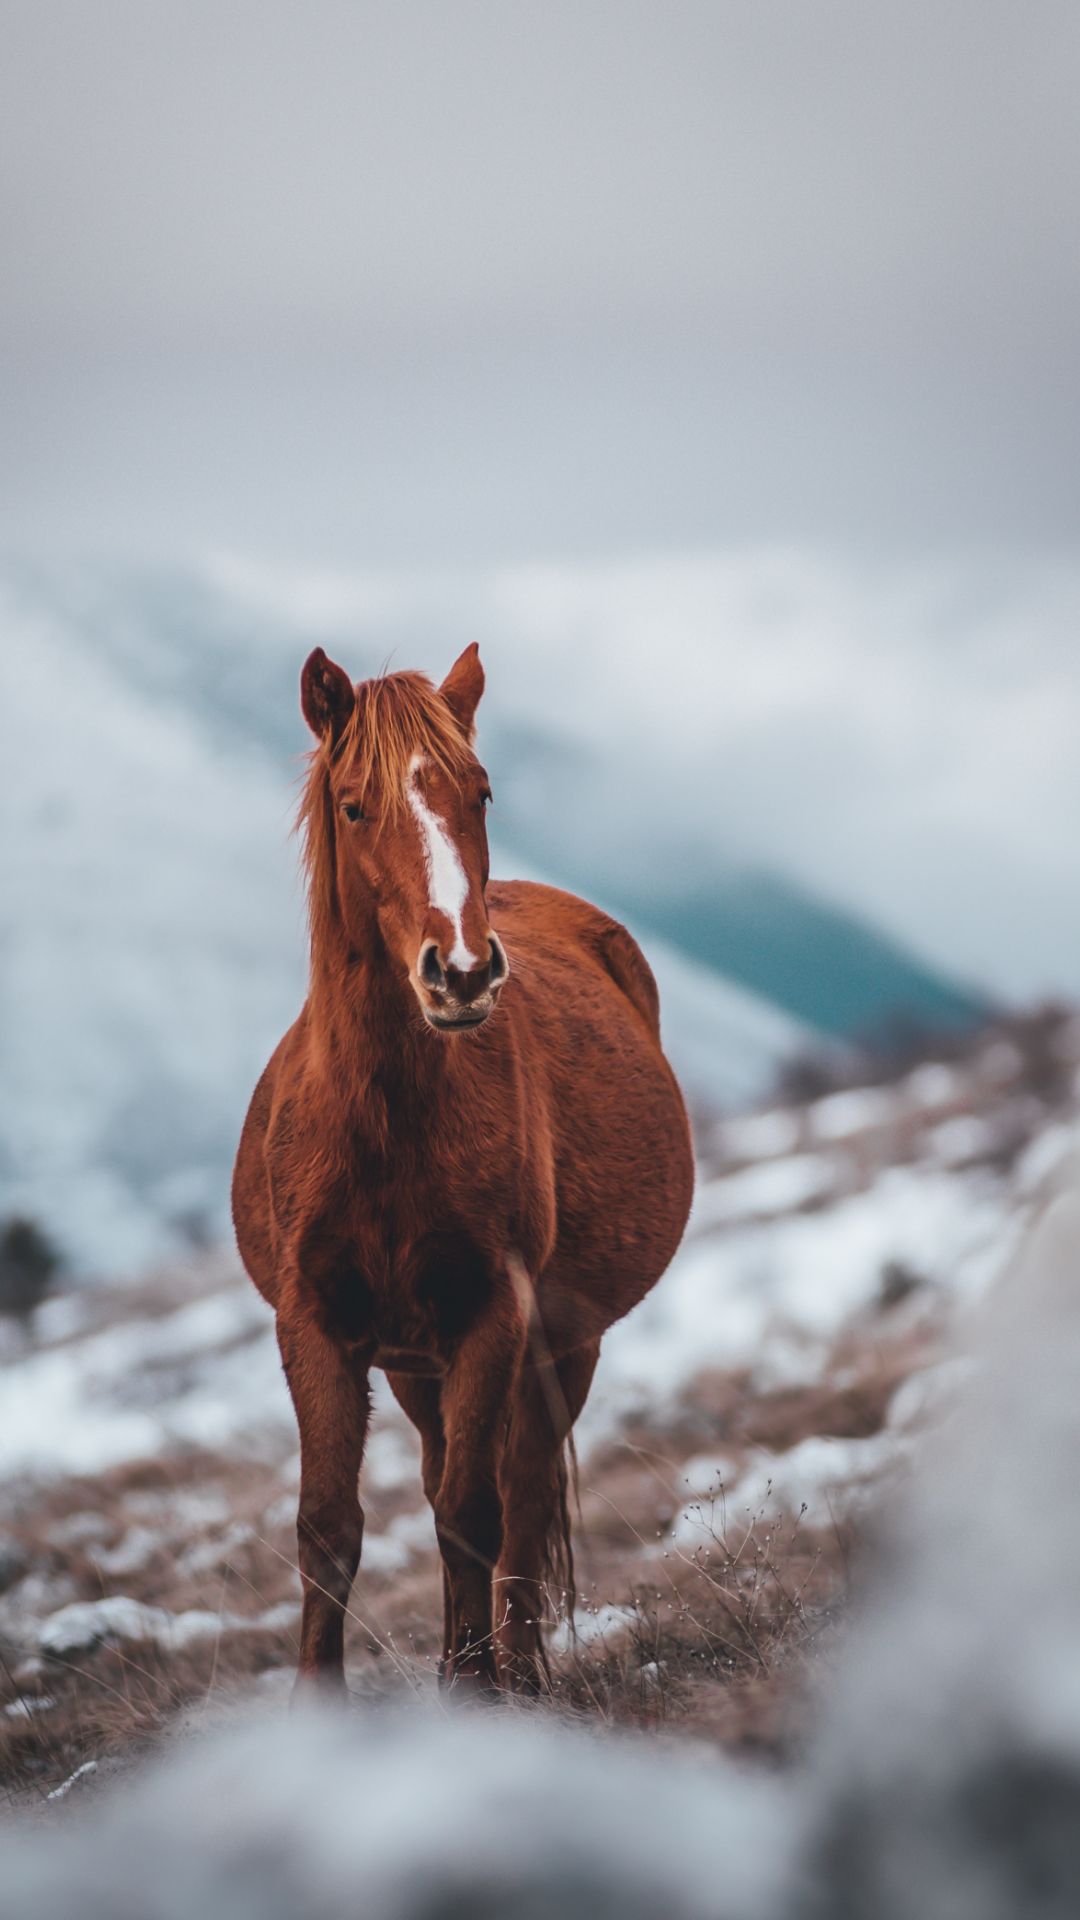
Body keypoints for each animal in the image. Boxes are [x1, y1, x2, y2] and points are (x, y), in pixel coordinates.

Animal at [231, 648, 691, 1697]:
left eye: (479, 792)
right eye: (355, 806)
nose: (464, 973)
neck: (385, 1126)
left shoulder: (495, 1315)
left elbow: (475, 1516)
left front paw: (482, 1695)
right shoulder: (316, 1326)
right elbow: (330, 1529)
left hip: (563, 1342)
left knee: (516, 1495)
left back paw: (510, 1670)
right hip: (414, 1364)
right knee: (448, 1471)